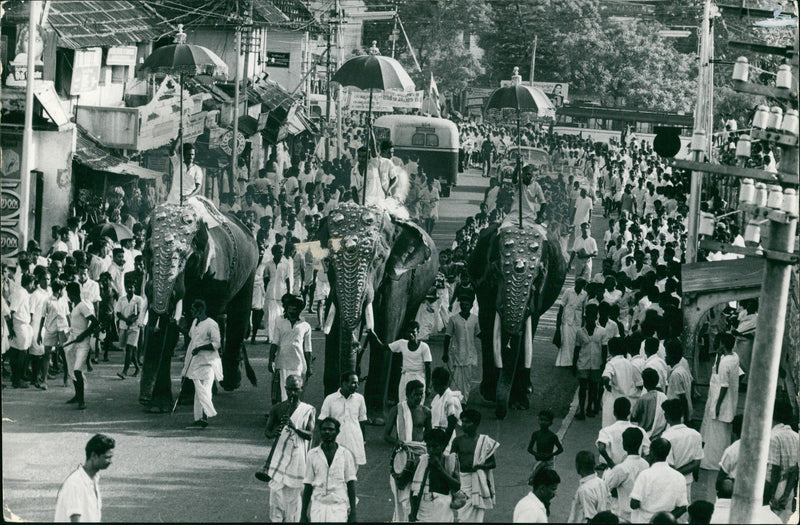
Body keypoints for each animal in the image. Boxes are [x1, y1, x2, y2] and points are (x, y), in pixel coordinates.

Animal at [139, 196, 258, 410]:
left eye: (186, 256)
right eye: (148, 252)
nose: (144, 399)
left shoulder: (214, 274)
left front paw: (188, 398)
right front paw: (158, 406)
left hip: (250, 268)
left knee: (237, 314)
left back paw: (228, 383)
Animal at [316, 202, 438, 418]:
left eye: (379, 259)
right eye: (329, 259)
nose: (352, 381)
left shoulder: (398, 279)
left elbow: (388, 327)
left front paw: (375, 418)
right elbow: (335, 325)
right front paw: (330, 401)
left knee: (405, 324)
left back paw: (392, 399)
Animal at [466, 220, 572, 418]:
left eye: (539, 276)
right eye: (495, 273)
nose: (501, 413)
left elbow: (528, 332)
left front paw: (519, 403)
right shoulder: (483, 285)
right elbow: (488, 325)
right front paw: (489, 394)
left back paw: (526, 389)